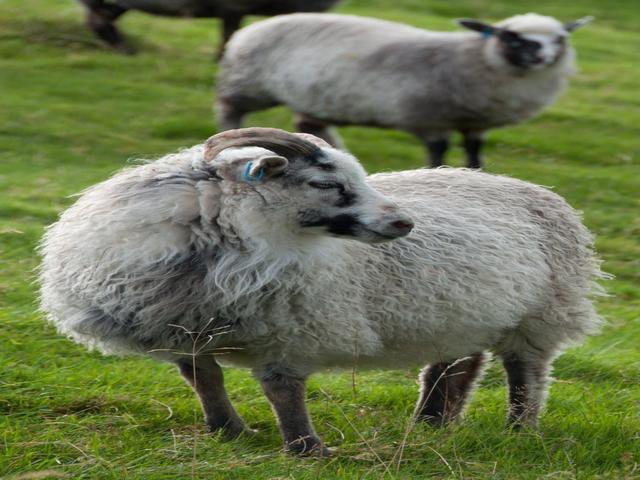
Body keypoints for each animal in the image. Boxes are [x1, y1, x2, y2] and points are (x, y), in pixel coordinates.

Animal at [39, 128, 604, 456]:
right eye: (328, 185)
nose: (404, 222)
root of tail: (523, 185)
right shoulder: (183, 325)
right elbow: (203, 376)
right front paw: (228, 430)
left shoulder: (290, 325)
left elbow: (281, 388)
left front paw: (307, 448)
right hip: (460, 309)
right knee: (456, 363)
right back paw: (430, 422)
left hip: (538, 314)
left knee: (526, 373)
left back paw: (520, 430)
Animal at [217, 13, 592, 168]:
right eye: (511, 37)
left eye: (560, 38)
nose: (541, 56)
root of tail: (252, 28)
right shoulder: (429, 118)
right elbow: (439, 150)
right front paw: (439, 171)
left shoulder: (475, 122)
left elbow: (474, 151)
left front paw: (477, 172)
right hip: (247, 83)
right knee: (229, 108)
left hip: (313, 97)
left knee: (309, 124)